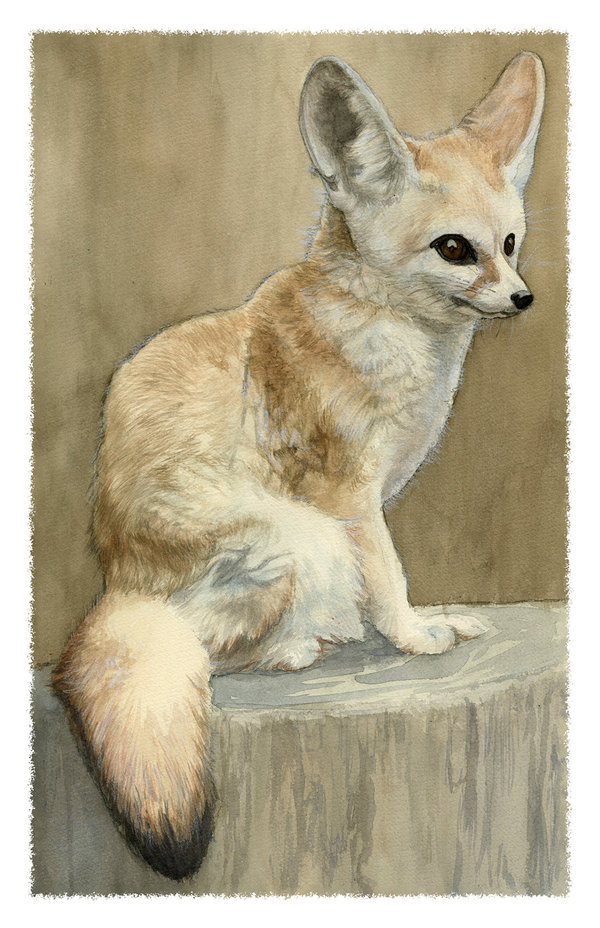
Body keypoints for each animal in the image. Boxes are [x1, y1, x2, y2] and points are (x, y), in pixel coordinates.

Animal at [53, 51, 545, 881]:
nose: (522, 298)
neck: (386, 331)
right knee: (214, 653)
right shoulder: (344, 494)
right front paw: (414, 636)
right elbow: (388, 577)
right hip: (298, 541)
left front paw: (424, 621)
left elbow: (388, 582)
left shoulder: (367, 497)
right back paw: (296, 647)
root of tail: (122, 585)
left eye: (509, 243)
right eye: (455, 249)